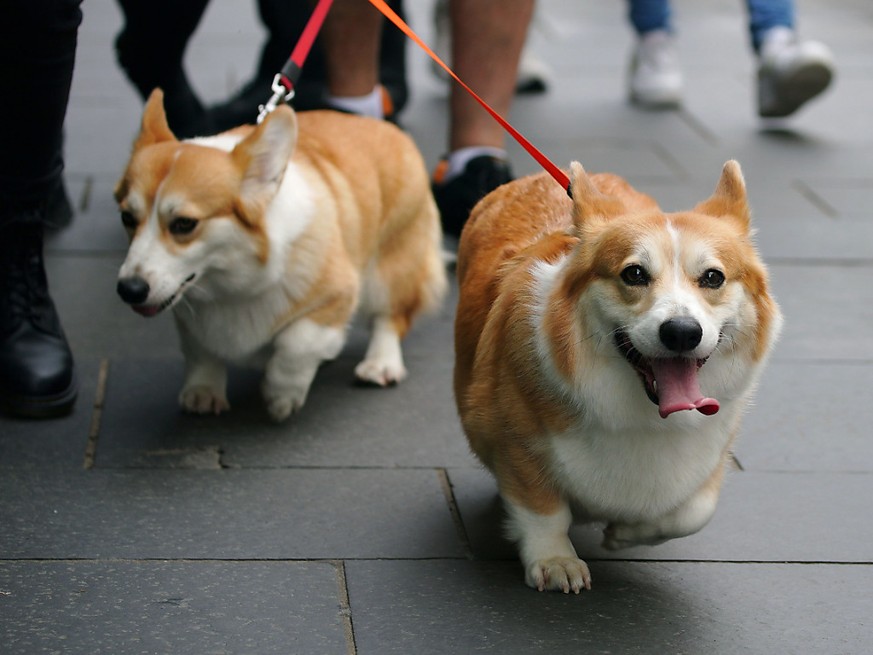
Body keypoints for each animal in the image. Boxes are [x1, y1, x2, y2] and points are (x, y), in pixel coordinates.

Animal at [116, 89, 446, 420]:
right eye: (127, 218)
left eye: (184, 224)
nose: (129, 290)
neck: (231, 283)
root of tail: (389, 129)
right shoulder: (190, 316)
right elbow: (200, 351)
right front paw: (203, 392)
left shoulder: (337, 292)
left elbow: (297, 342)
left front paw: (282, 395)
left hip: (391, 267)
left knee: (390, 317)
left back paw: (380, 363)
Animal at [456, 160, 784, 596]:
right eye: (634, 274)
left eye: (713, 278)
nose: (682, 332)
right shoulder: (513, 437)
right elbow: (543, 510)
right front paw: (555, 560)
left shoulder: (712, 452)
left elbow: (694, 511)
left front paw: (625, 534)